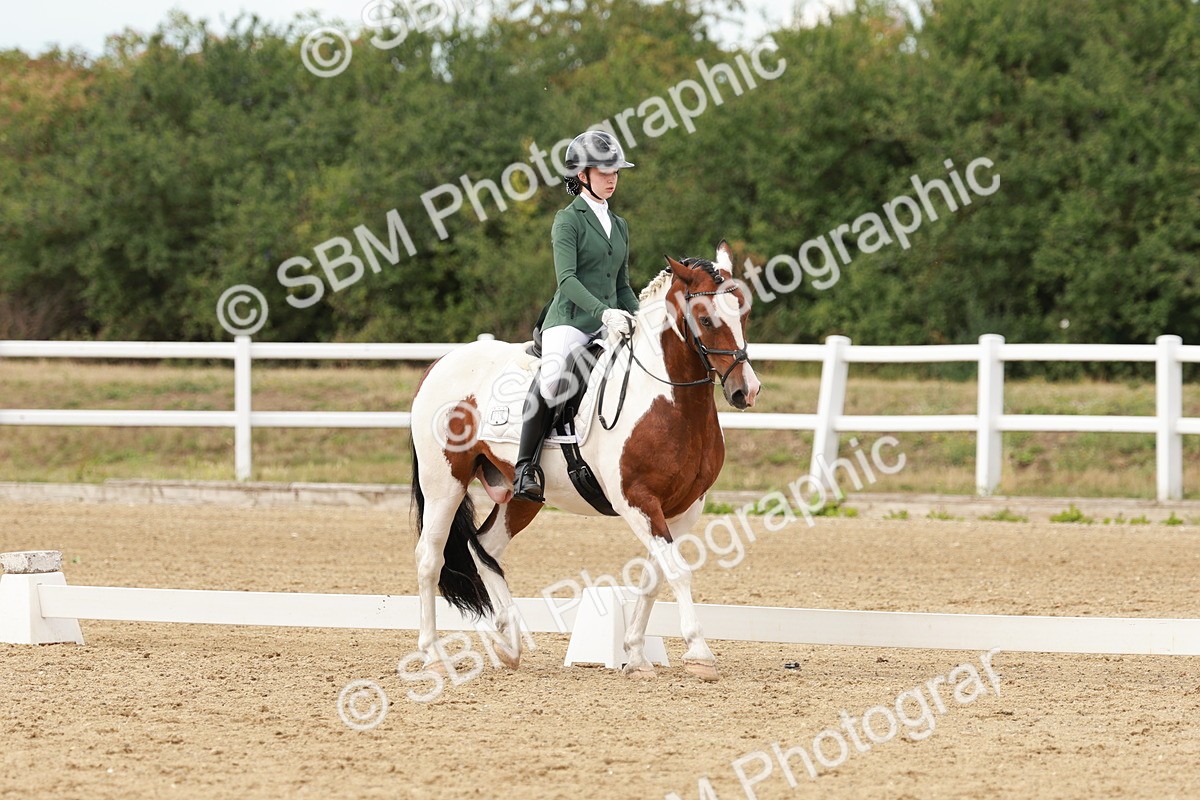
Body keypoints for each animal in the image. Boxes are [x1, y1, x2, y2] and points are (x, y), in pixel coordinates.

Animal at [408, 240, 761, 682]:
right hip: (444, 483)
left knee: (485, 547)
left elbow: (655, 577)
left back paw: (508, 644)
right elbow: (678, 571)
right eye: (705, 318)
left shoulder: (685, 508)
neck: (671, 401)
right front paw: (699, 653)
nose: (746, 391)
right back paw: (434, 654)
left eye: (743, 313)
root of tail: (441, 364)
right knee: (430, 558)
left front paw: (636, 655)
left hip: (521, 494)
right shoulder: (637, 500)